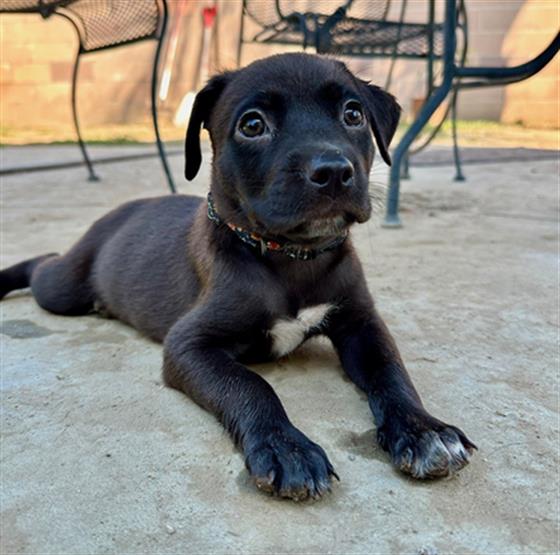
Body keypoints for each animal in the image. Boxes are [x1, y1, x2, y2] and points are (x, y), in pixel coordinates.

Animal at [0, 54, 474, 502]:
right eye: (252, 125)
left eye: (353, 114)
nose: (333, 171)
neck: (291, 257)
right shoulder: (190, 344)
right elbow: (250, 385)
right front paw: (287, 449)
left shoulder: (361, 323)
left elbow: (391, 371)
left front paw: (425, 431)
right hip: (63, 289)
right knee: (44, 265)